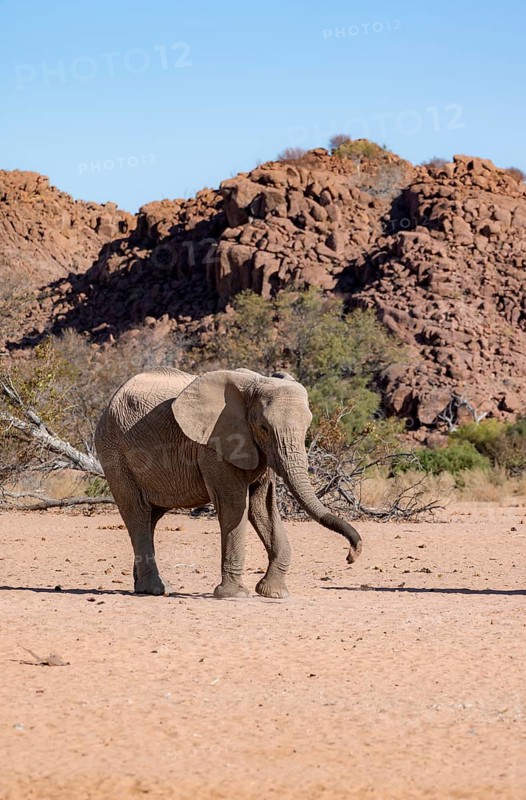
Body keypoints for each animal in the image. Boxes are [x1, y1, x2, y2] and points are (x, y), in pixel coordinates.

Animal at [94, 368, 362, 599]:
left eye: (307, 426)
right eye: (264, 427)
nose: (351, 555)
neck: (254, 384)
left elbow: (263, 506)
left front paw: (273, 593)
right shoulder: (214, 447)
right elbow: (234, 506)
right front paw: (234, 594)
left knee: (152, 515)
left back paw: (143, 586)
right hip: (114, 453)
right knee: (137, 512)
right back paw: (156, 589)